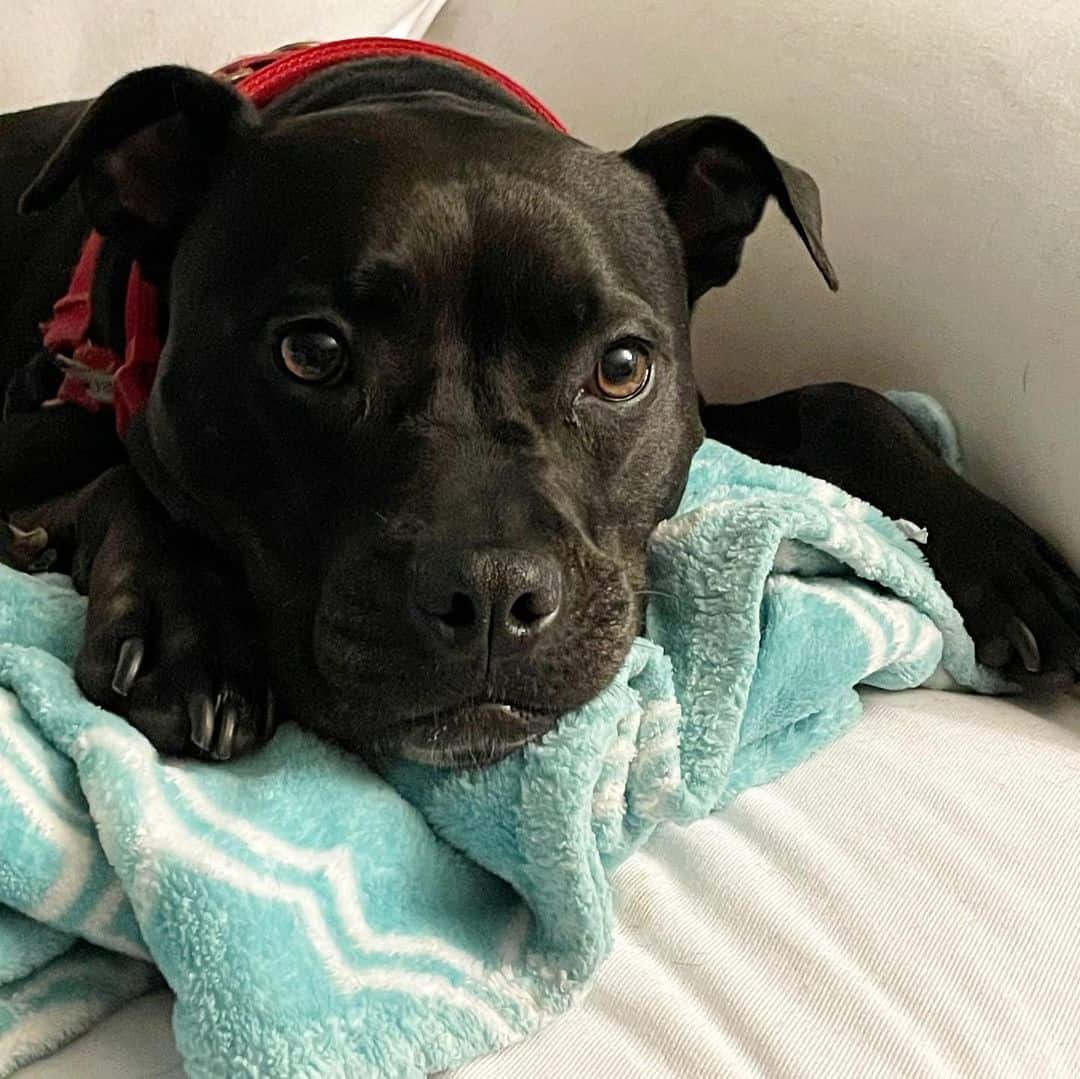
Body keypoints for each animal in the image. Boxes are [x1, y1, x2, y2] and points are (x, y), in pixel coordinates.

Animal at [2, 50, 1080, 769]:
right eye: (310, 353)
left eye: (622, 368)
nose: (490, 598)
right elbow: (136, 476)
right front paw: (188, 624)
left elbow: (840, 400)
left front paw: (1005, 560)